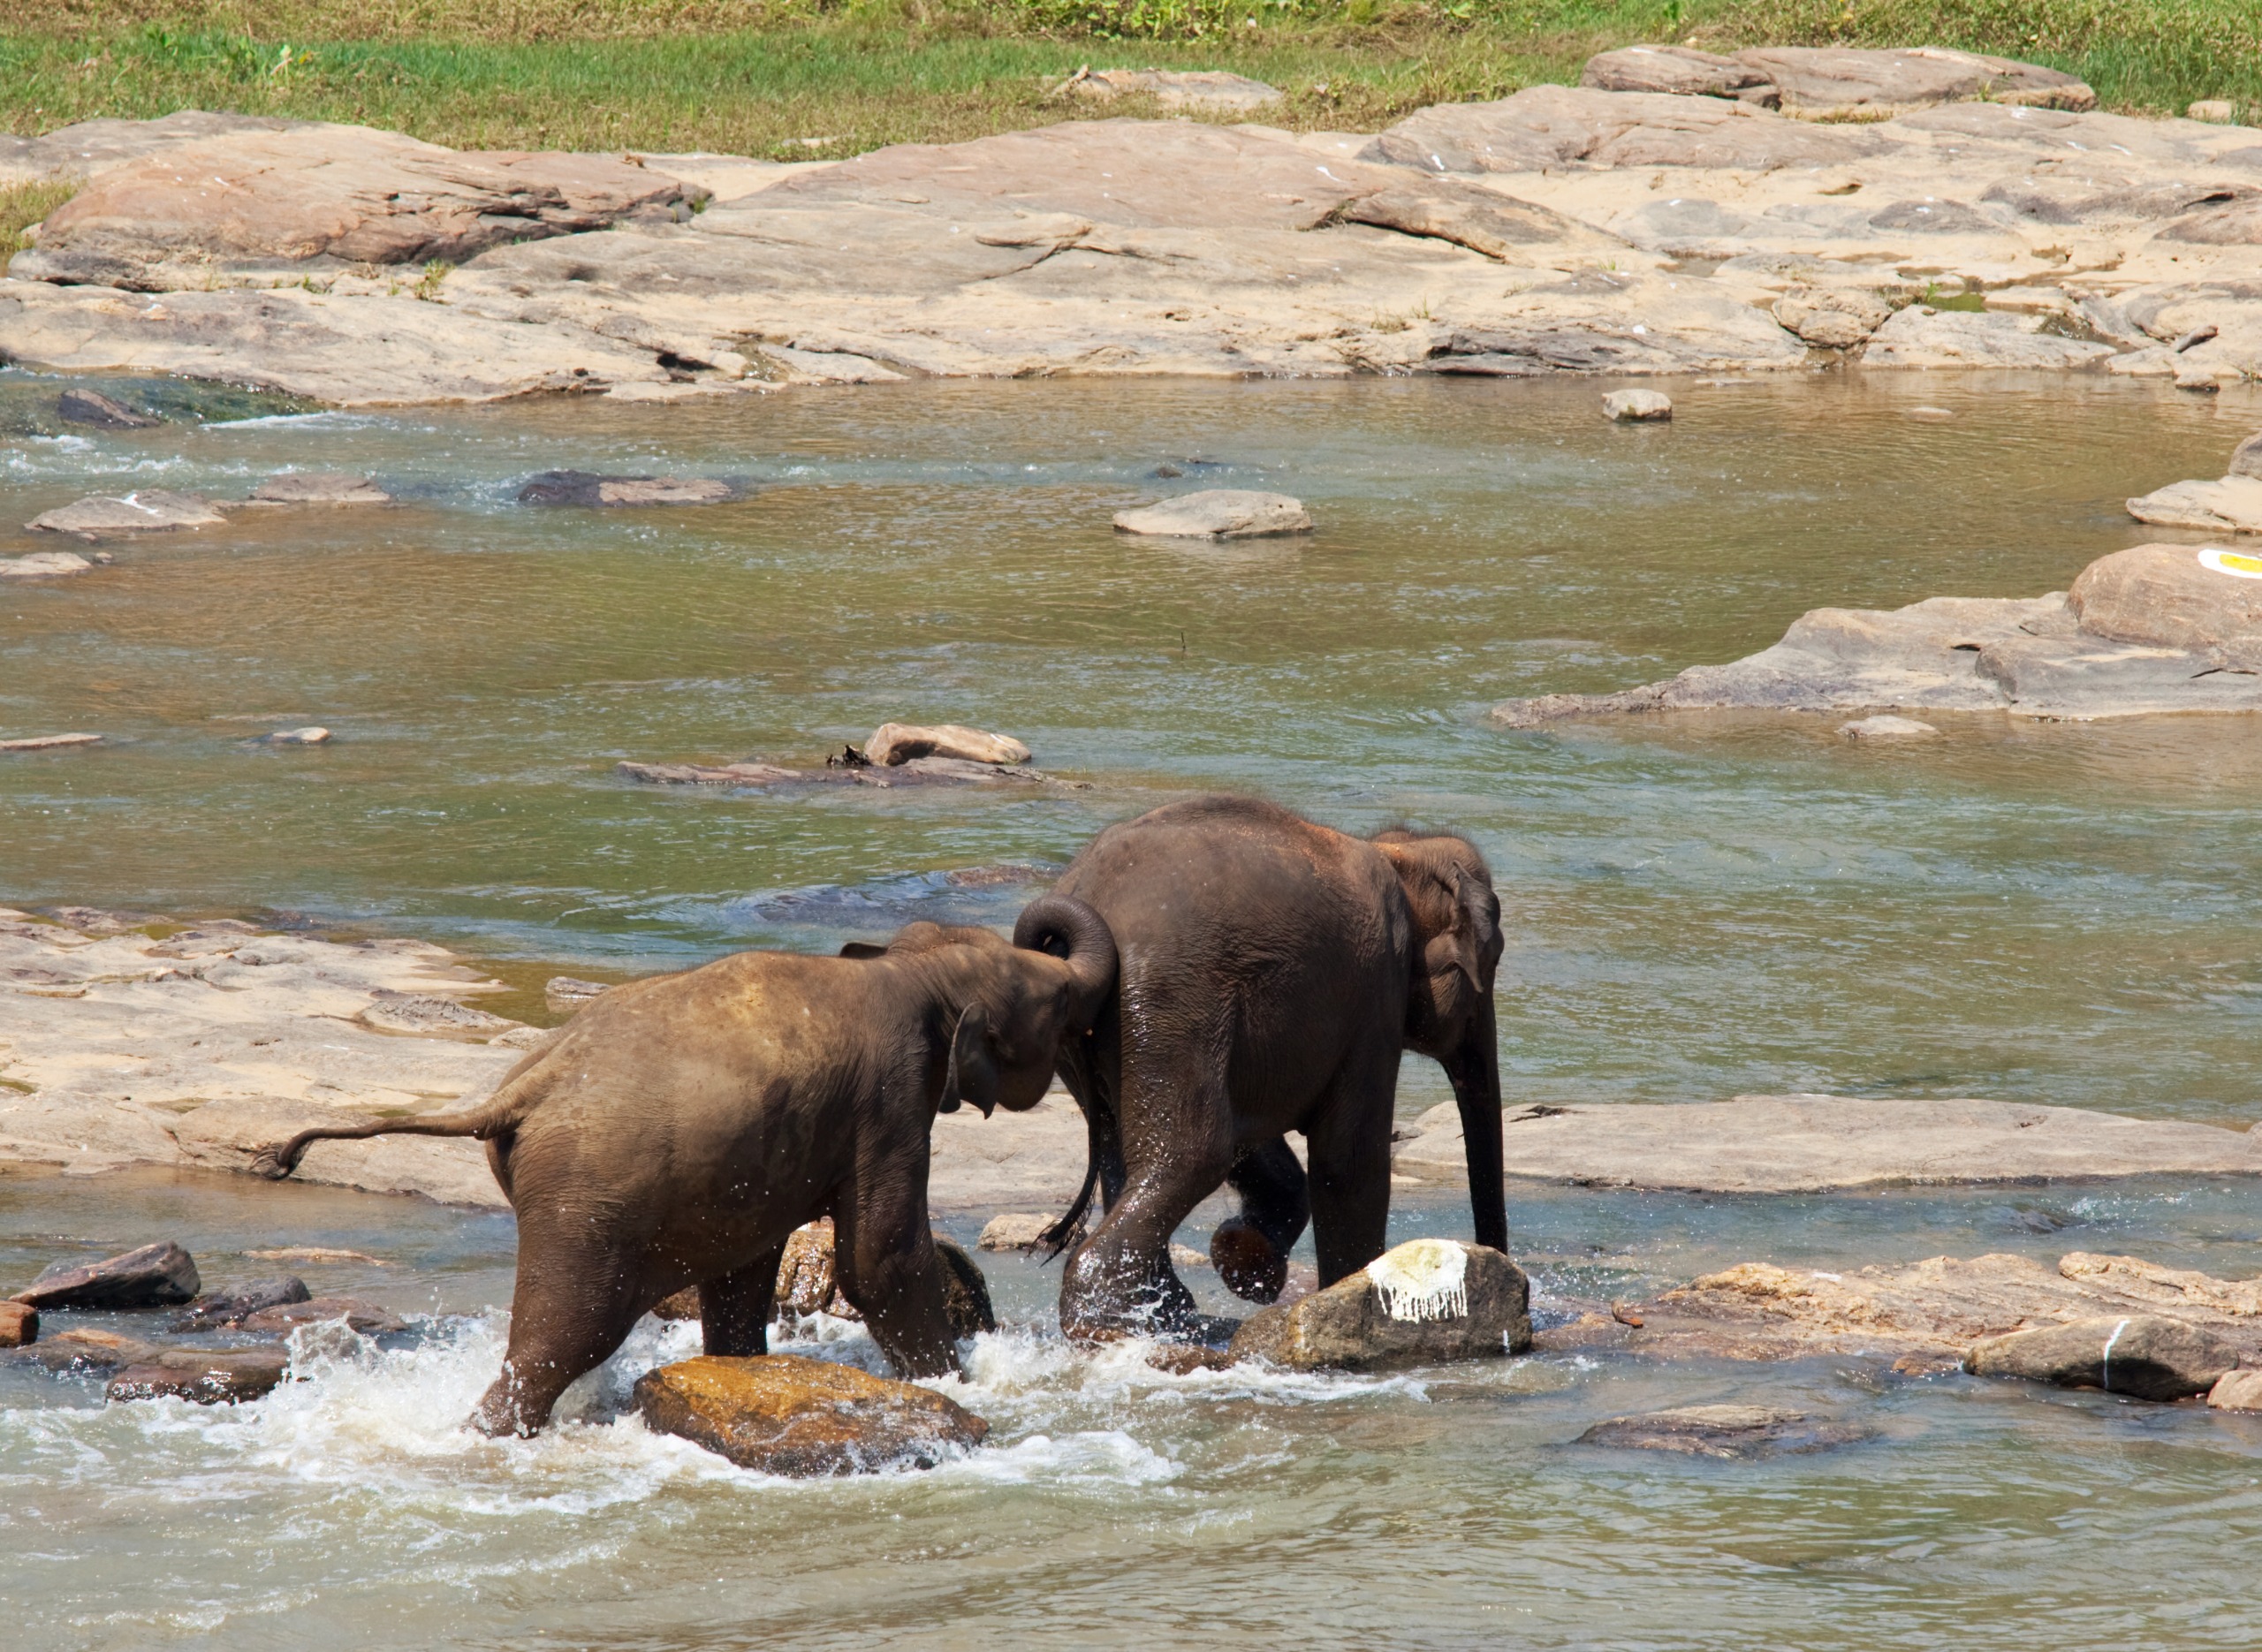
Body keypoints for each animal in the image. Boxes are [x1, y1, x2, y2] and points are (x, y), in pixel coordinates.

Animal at [253, 897, 1116, 1436]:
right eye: (1059, 1008)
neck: (911, 971)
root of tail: (518, 1092)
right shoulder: (891, 1099)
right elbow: (880, 1259)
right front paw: (955, 1385)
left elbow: (743, 1270)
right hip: (585, 1203)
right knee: (566, 1335)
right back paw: (488, 1435)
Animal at [1021, 795, 1504, 1341]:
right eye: (1492, 961)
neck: (1401, 854)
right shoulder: (1376, 992)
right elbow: (1349, 1161)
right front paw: (1347, 1297)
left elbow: (1253, 1136)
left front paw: (1244, 1259)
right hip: (1169, 1003)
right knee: (1194, 1153)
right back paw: (1114, 1322)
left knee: (1126, 1148)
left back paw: (1163, 1311)